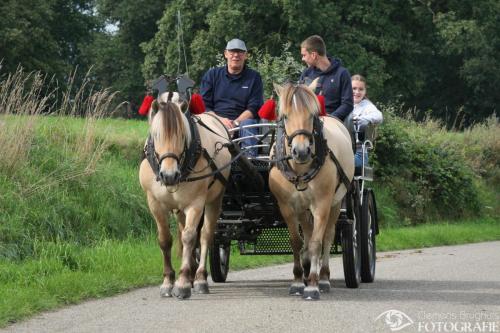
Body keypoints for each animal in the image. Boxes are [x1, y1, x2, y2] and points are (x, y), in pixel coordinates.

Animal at [139, 92, 232, 298]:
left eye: (182, 135)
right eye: (156, 135)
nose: (169, 175)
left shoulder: (195, 203)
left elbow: (190, 237)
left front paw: (182, 283)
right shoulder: (154, 203)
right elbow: (165, 239)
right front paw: (168, 281)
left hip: (215, 200)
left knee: (205, 235)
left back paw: (199, 277)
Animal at [270, 82, 356, 298]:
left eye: (312, 115)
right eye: (285, 116)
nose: (301, 151)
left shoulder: (322, 204)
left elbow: (318, 241)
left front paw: (313, 284)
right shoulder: (287, 206)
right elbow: (297, 241)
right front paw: (298, 280)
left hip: (336, 202)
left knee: (328, 235)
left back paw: (323, 277)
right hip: (303, 208)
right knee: (307, 233)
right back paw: (308, 267)